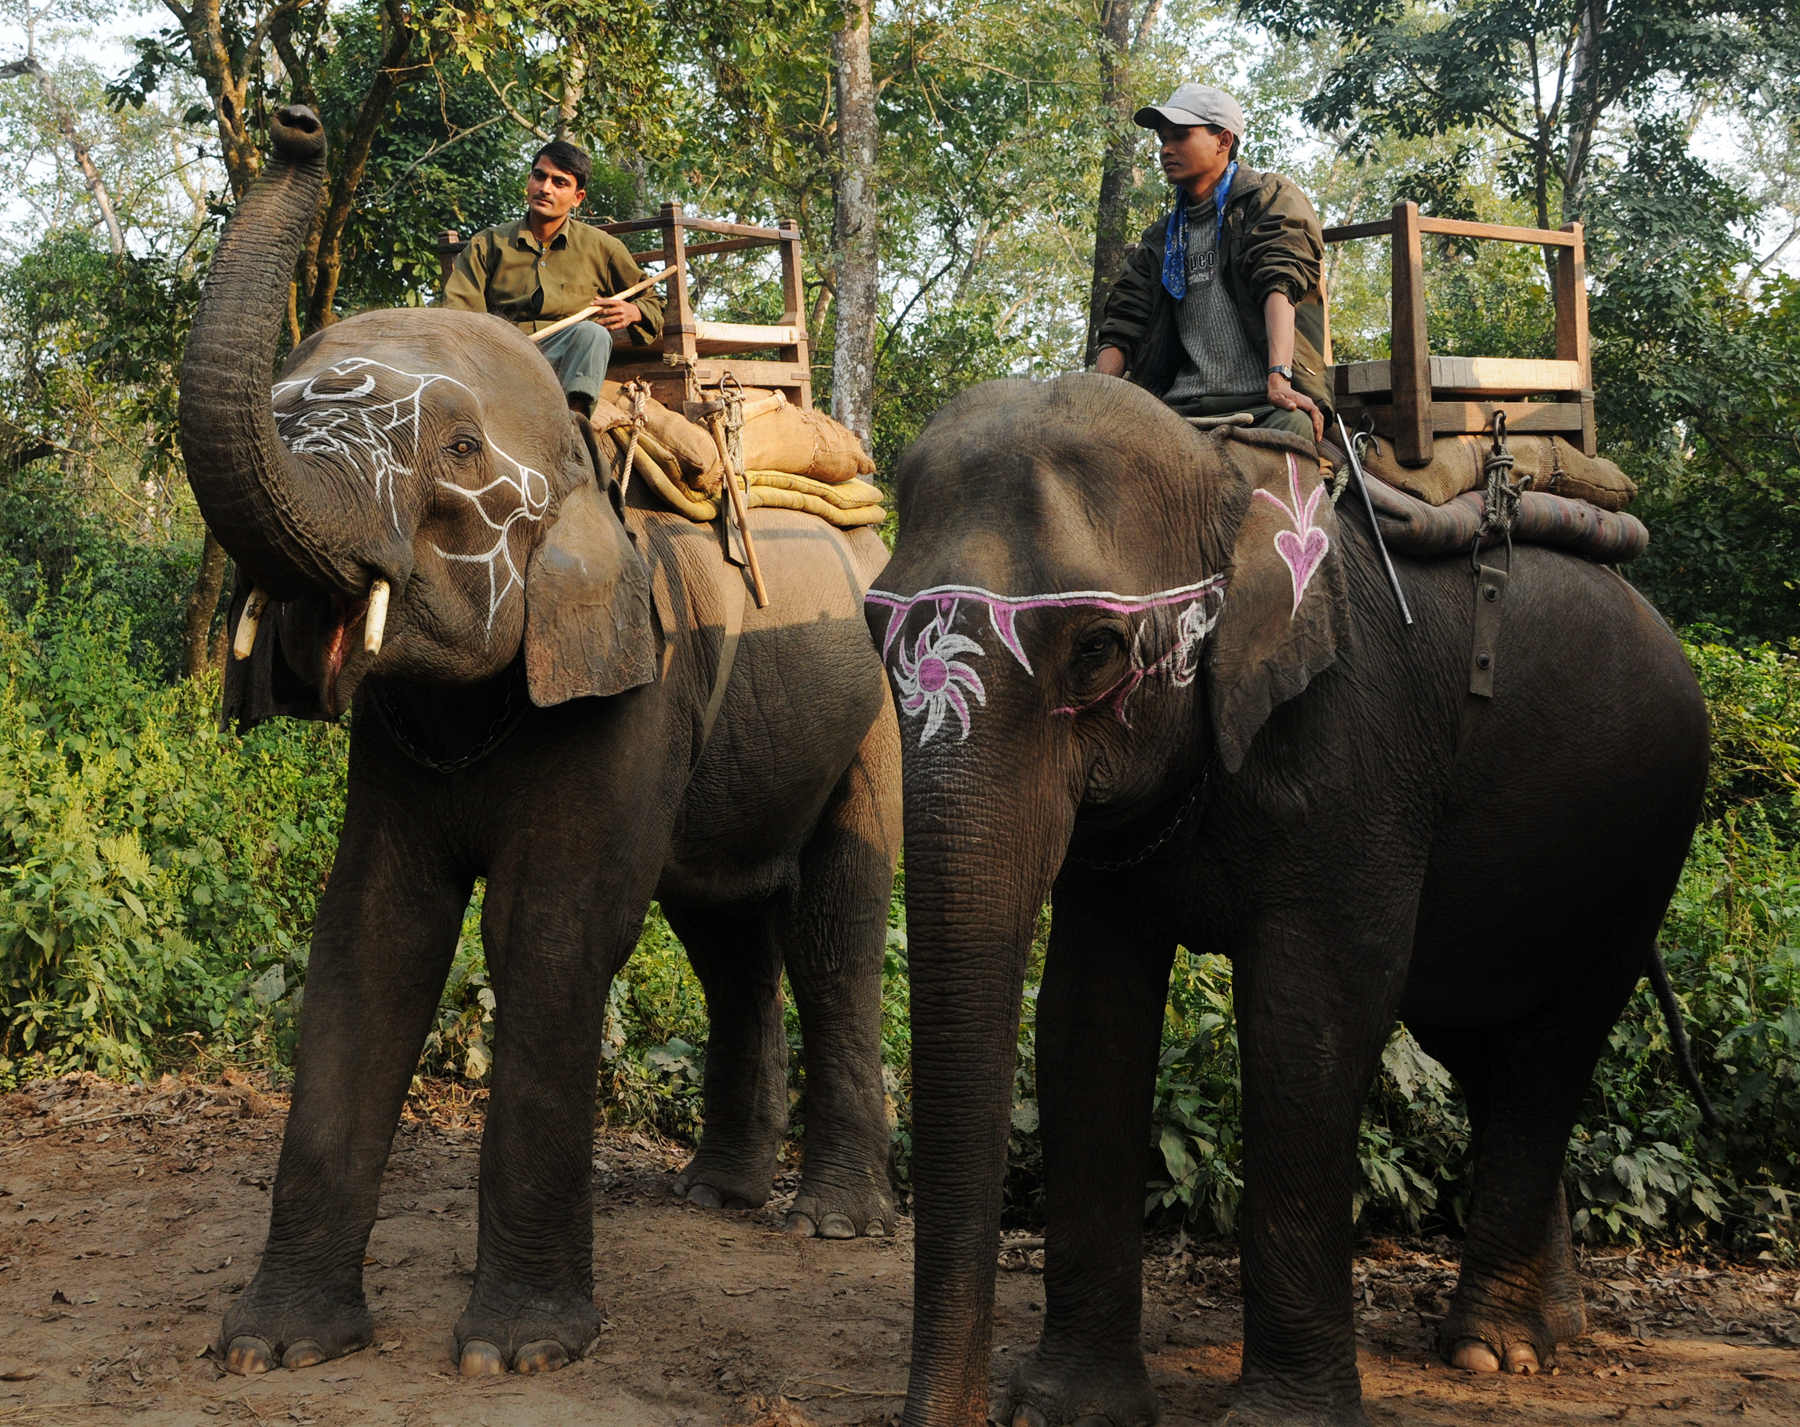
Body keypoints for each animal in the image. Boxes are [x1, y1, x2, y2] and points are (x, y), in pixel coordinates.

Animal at [178, 107, 900, 1378]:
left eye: (461, 452)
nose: (299, 125)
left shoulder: (633, 670)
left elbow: (552, 928)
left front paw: (515, 1354)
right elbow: (373, 927)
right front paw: (273, 1345)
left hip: (875, 706)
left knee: (835, 919)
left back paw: (834, 1220)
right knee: (723, 926)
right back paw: (718, 1193)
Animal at [864, 374, 1708, 1427]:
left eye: (1099, 649)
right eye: (874, 634)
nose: (969, 1410)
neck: (1225, 470)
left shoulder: (1354, 742)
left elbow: (1310, 1014)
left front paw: (1280, 1419)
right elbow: (1088, 1017)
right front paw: (1071, 1409)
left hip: (1642, 840)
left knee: (1551, 1046)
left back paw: (1495, 1350)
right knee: (1483, 1043)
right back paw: (1544, 1331)